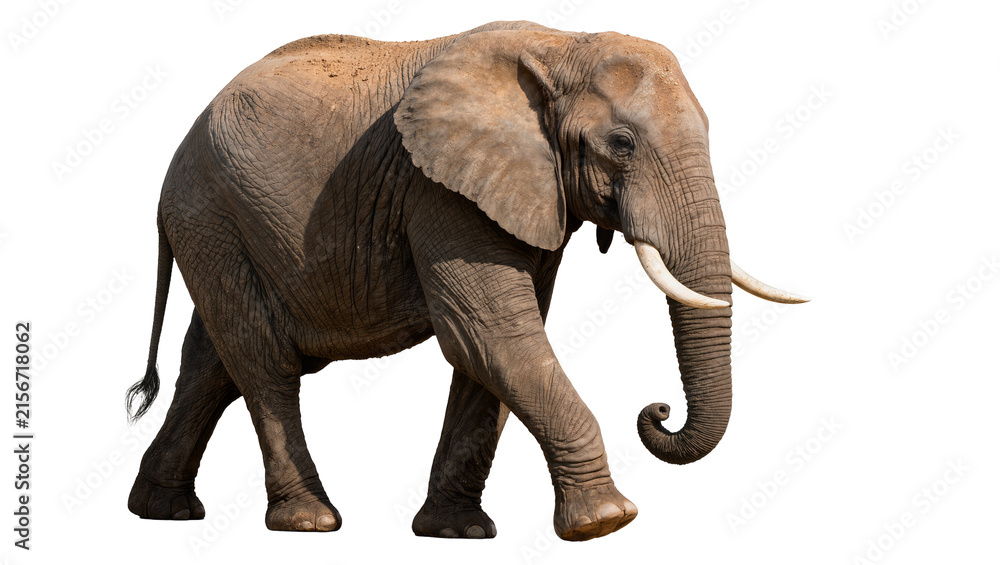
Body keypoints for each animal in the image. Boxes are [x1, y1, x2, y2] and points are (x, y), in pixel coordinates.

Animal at [125, 20, 807, 541]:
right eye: (621, 142)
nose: (657, 410)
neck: (560, 45)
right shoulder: (439, 189)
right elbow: (491, 334)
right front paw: (606, 523)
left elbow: (490, 350)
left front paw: (458, 532)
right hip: (210, 212)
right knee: (262, 359)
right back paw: (310, 522)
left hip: (219, 226)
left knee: (211, 364)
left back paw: (161, 511)